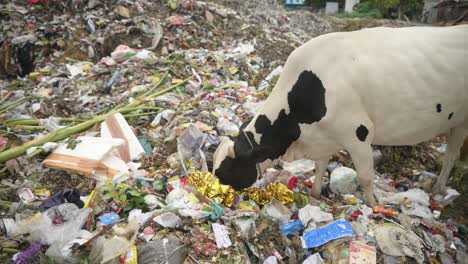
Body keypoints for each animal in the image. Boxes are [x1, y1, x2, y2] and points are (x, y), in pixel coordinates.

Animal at [212, 24, 468, 206]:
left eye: (226, 171)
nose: (214, 195)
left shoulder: (359, 133)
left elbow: (365, 176)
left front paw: (374, 205)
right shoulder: (323, 138)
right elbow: (320, 167)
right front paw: (315, 193)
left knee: (451, 155)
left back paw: (439, 188)